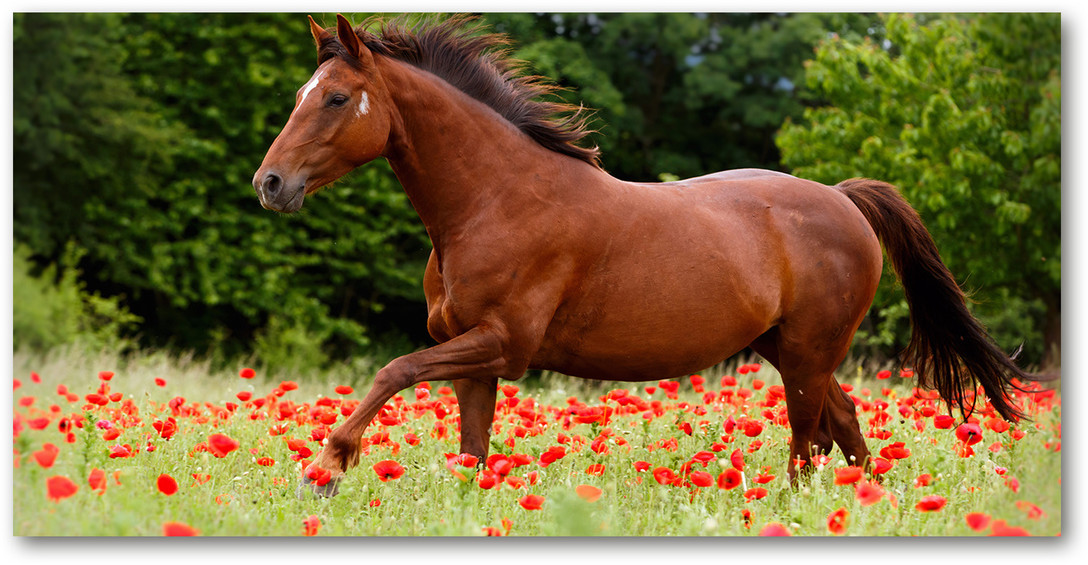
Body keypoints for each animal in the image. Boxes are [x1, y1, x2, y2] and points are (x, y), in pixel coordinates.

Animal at [254, 14, 1035, 500]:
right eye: (301, 93)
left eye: (336, 99)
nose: (271, 183)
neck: (495, 199)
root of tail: (845, 200)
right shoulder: (474, 358)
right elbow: (471, 452)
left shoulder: (502, 343)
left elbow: (393, 370)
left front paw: (325, 468)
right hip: (788, 348)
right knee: (842, 427)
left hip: (808, 354)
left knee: (807, 438)